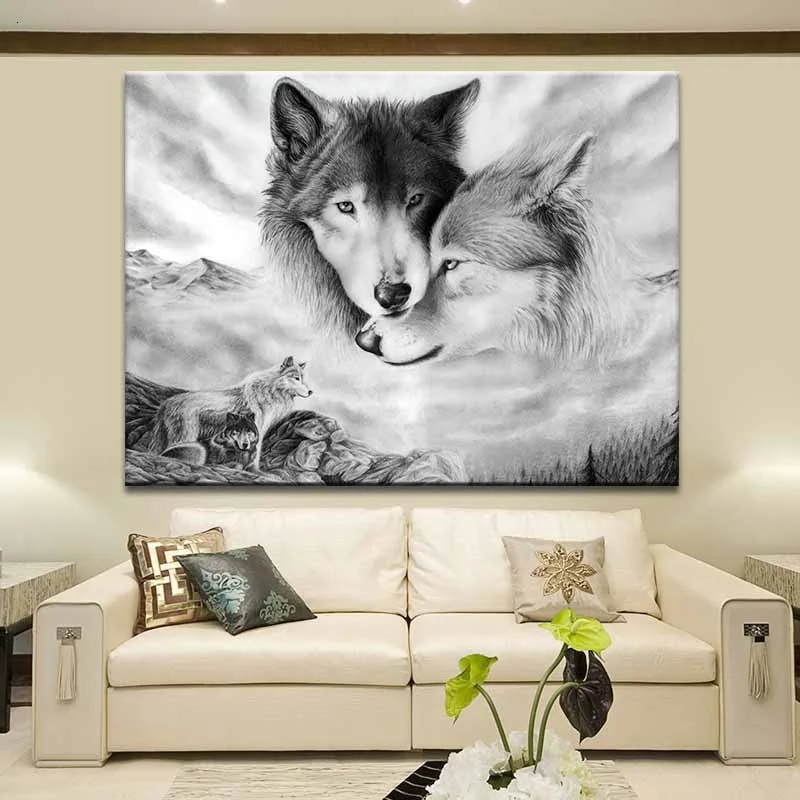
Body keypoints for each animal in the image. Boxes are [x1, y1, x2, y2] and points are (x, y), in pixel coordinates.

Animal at [149, 357, 312, 470]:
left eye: (304, 379)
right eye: (297, 378)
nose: (311, 391)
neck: (270, 391)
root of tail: (166, 403)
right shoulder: (256, 430)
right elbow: (255, 455)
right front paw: (254, 471)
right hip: (186, 437)